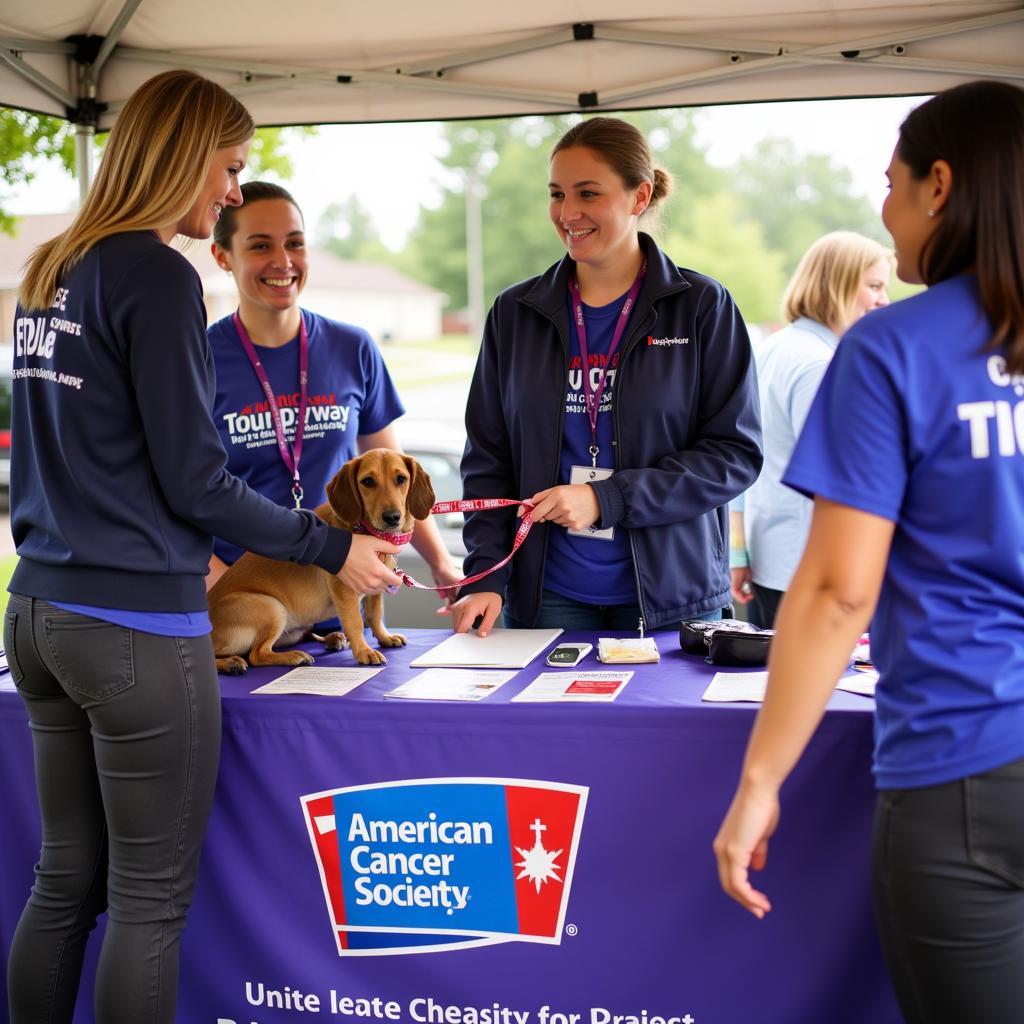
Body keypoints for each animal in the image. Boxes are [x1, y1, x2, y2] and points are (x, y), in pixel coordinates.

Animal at [209, 446, 434, 671]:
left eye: (401, 479)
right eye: (368, 481)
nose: (392, 517)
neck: (366, 529)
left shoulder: (376, 588)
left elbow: (375, 615)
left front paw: (385, 638)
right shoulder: (344, 590)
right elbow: (355, 623)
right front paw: (364, 651)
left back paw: (332, 639)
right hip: (271, 607)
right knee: (255, 654)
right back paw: (252, 660)